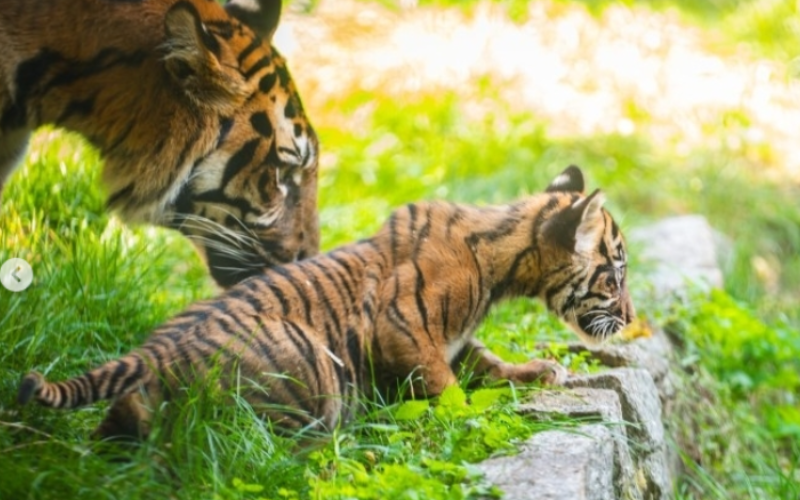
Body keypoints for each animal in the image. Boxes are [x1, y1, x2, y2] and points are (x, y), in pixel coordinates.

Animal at [18, 165, 635, 439]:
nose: (631, 319)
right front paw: (467, 417)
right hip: (309, 358)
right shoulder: (401, 323)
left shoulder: (453, 336)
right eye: (615, 277)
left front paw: (534, 371)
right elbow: (446, 382)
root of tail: (154, 351)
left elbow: (483, 359)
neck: (504, 260)